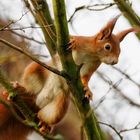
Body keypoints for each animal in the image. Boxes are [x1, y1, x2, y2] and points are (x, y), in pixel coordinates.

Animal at [0, 14, 139, 139]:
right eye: (107, 47)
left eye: (119, 51)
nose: (115, 61)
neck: (92, 53)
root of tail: (34, 104)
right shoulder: (78, 41)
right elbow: (64, 39)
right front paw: (72, 41)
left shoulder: (92, 65)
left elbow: (85, 78)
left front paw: (87, 90)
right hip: (34, 71)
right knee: (30, 89)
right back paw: (19, 89)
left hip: (59, 105)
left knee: (45, 115)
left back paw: (45, 124)